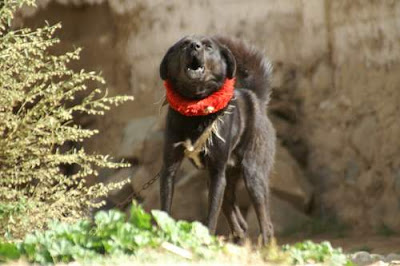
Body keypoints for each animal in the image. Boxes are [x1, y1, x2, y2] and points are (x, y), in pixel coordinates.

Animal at [159, 35, 276, 245]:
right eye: (183, 44)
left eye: (208, 46)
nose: (194, 46)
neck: (195, 108)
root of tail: (255, 98)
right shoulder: (169, 167)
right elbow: (165, 208)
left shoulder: (216, 172)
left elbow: (211, 216)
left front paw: (205, 238)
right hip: (226, 178)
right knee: (236, 215)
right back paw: (238, 238)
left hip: (252, 175)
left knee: (265, 223)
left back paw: (265, 246)